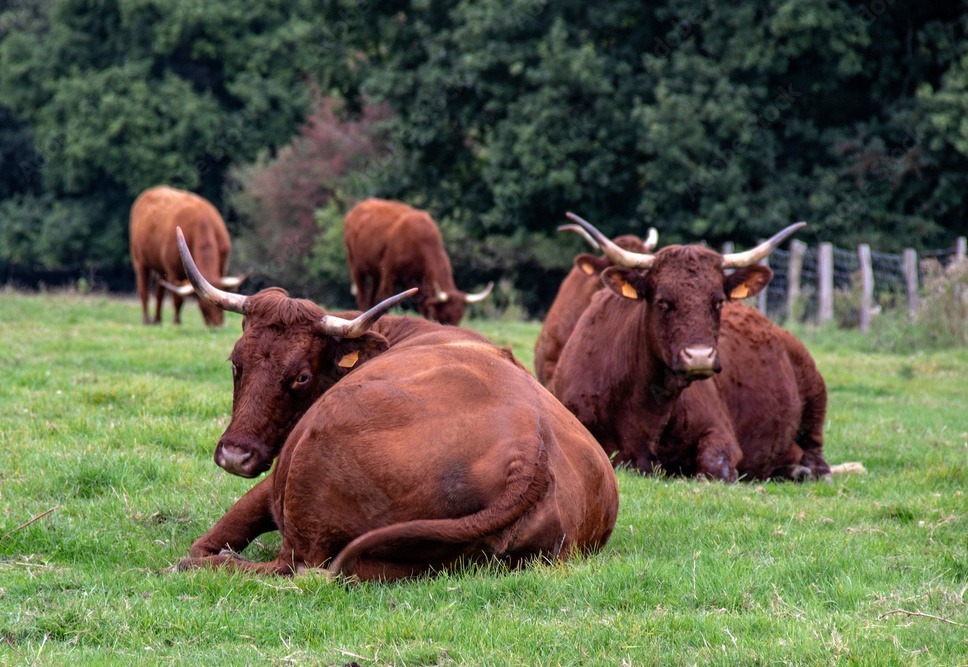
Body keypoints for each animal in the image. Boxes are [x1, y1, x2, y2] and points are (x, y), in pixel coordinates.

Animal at [129, 185, 246, 326]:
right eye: (202, 305)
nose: (217, 325)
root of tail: (153, 190)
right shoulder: (173, 272)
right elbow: (177, 299)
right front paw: (176, 322)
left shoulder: (223, 266)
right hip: (140, 262)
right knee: (144, 291)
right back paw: (146, 320)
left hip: (160, 269)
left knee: (159, 292)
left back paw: (157, 320)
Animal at [343, 198, 493, 325]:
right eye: (444, 317)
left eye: (458, 318)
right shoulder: (389, 273)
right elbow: (386, 301)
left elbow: (424, 308)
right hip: (356, 266)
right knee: (362, 297)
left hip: (375, 273)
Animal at [550, 214, 832, 482]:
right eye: (663, 301)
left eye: (718, 301)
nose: (699, 357)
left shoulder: (720, 433)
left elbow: (714, 467)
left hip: (815, 395)